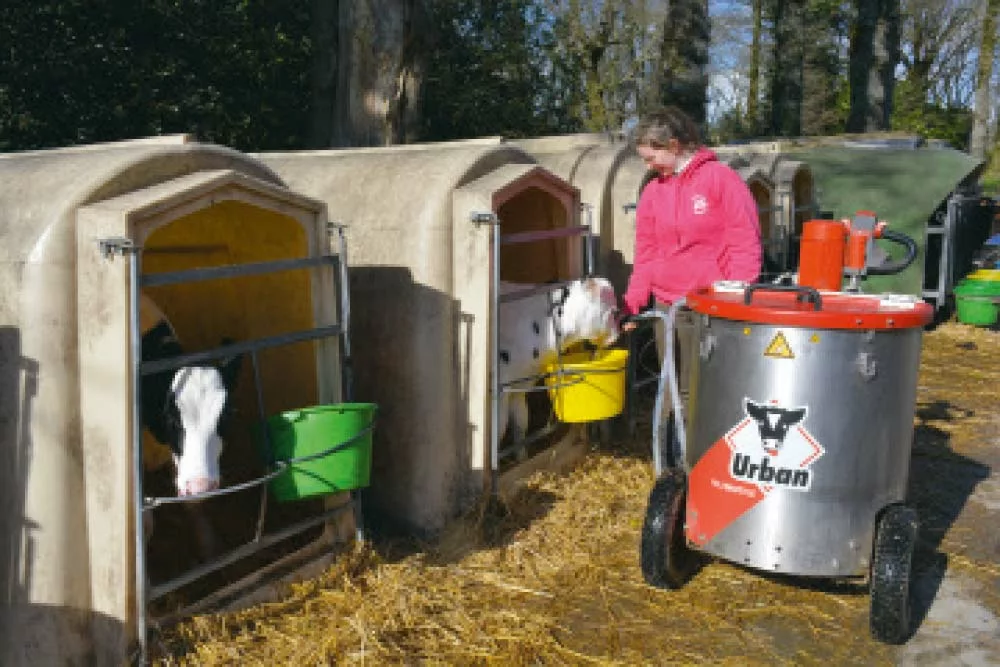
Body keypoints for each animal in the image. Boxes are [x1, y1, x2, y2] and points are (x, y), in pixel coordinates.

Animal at [498, 276, 620, 444]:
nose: (617, 335)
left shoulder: (521, 384)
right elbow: (500, 428)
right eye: (615, 311)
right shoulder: (501, 387)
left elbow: (521, 422)